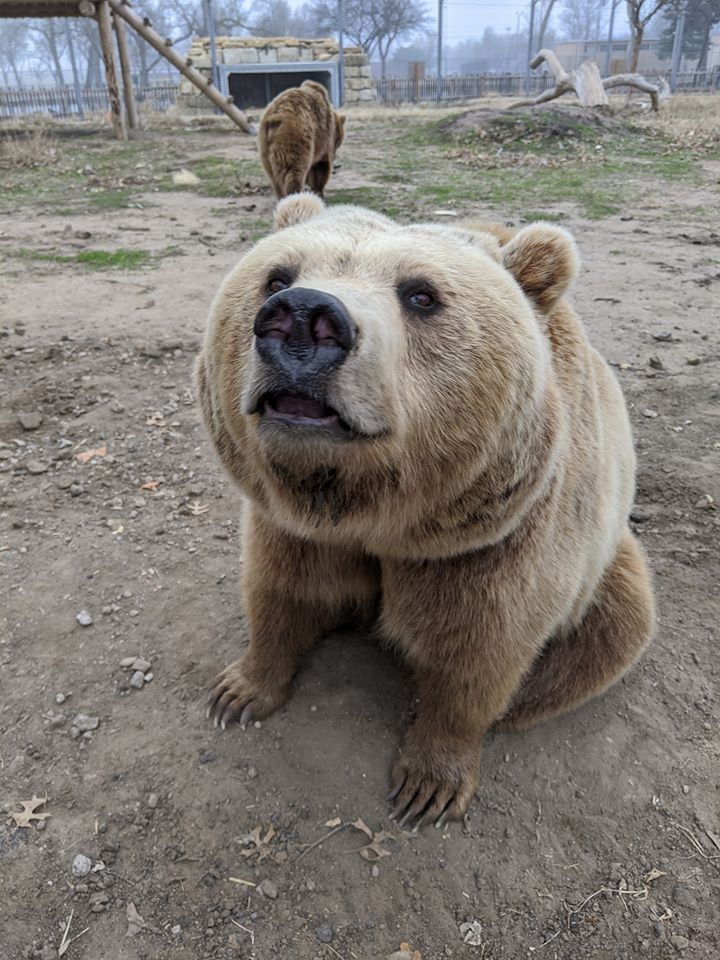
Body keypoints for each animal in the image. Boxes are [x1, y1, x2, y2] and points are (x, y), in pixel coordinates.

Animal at [195, 194, 655, 828]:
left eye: (421, 295)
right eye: (277, 277)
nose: (303, 317)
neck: (371, 513)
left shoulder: (493, 547)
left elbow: (479, 654)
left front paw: (427, 785)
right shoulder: (292, 528)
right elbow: (280, 591)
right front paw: (237, 692)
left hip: (606, 569)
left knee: (606, 635)